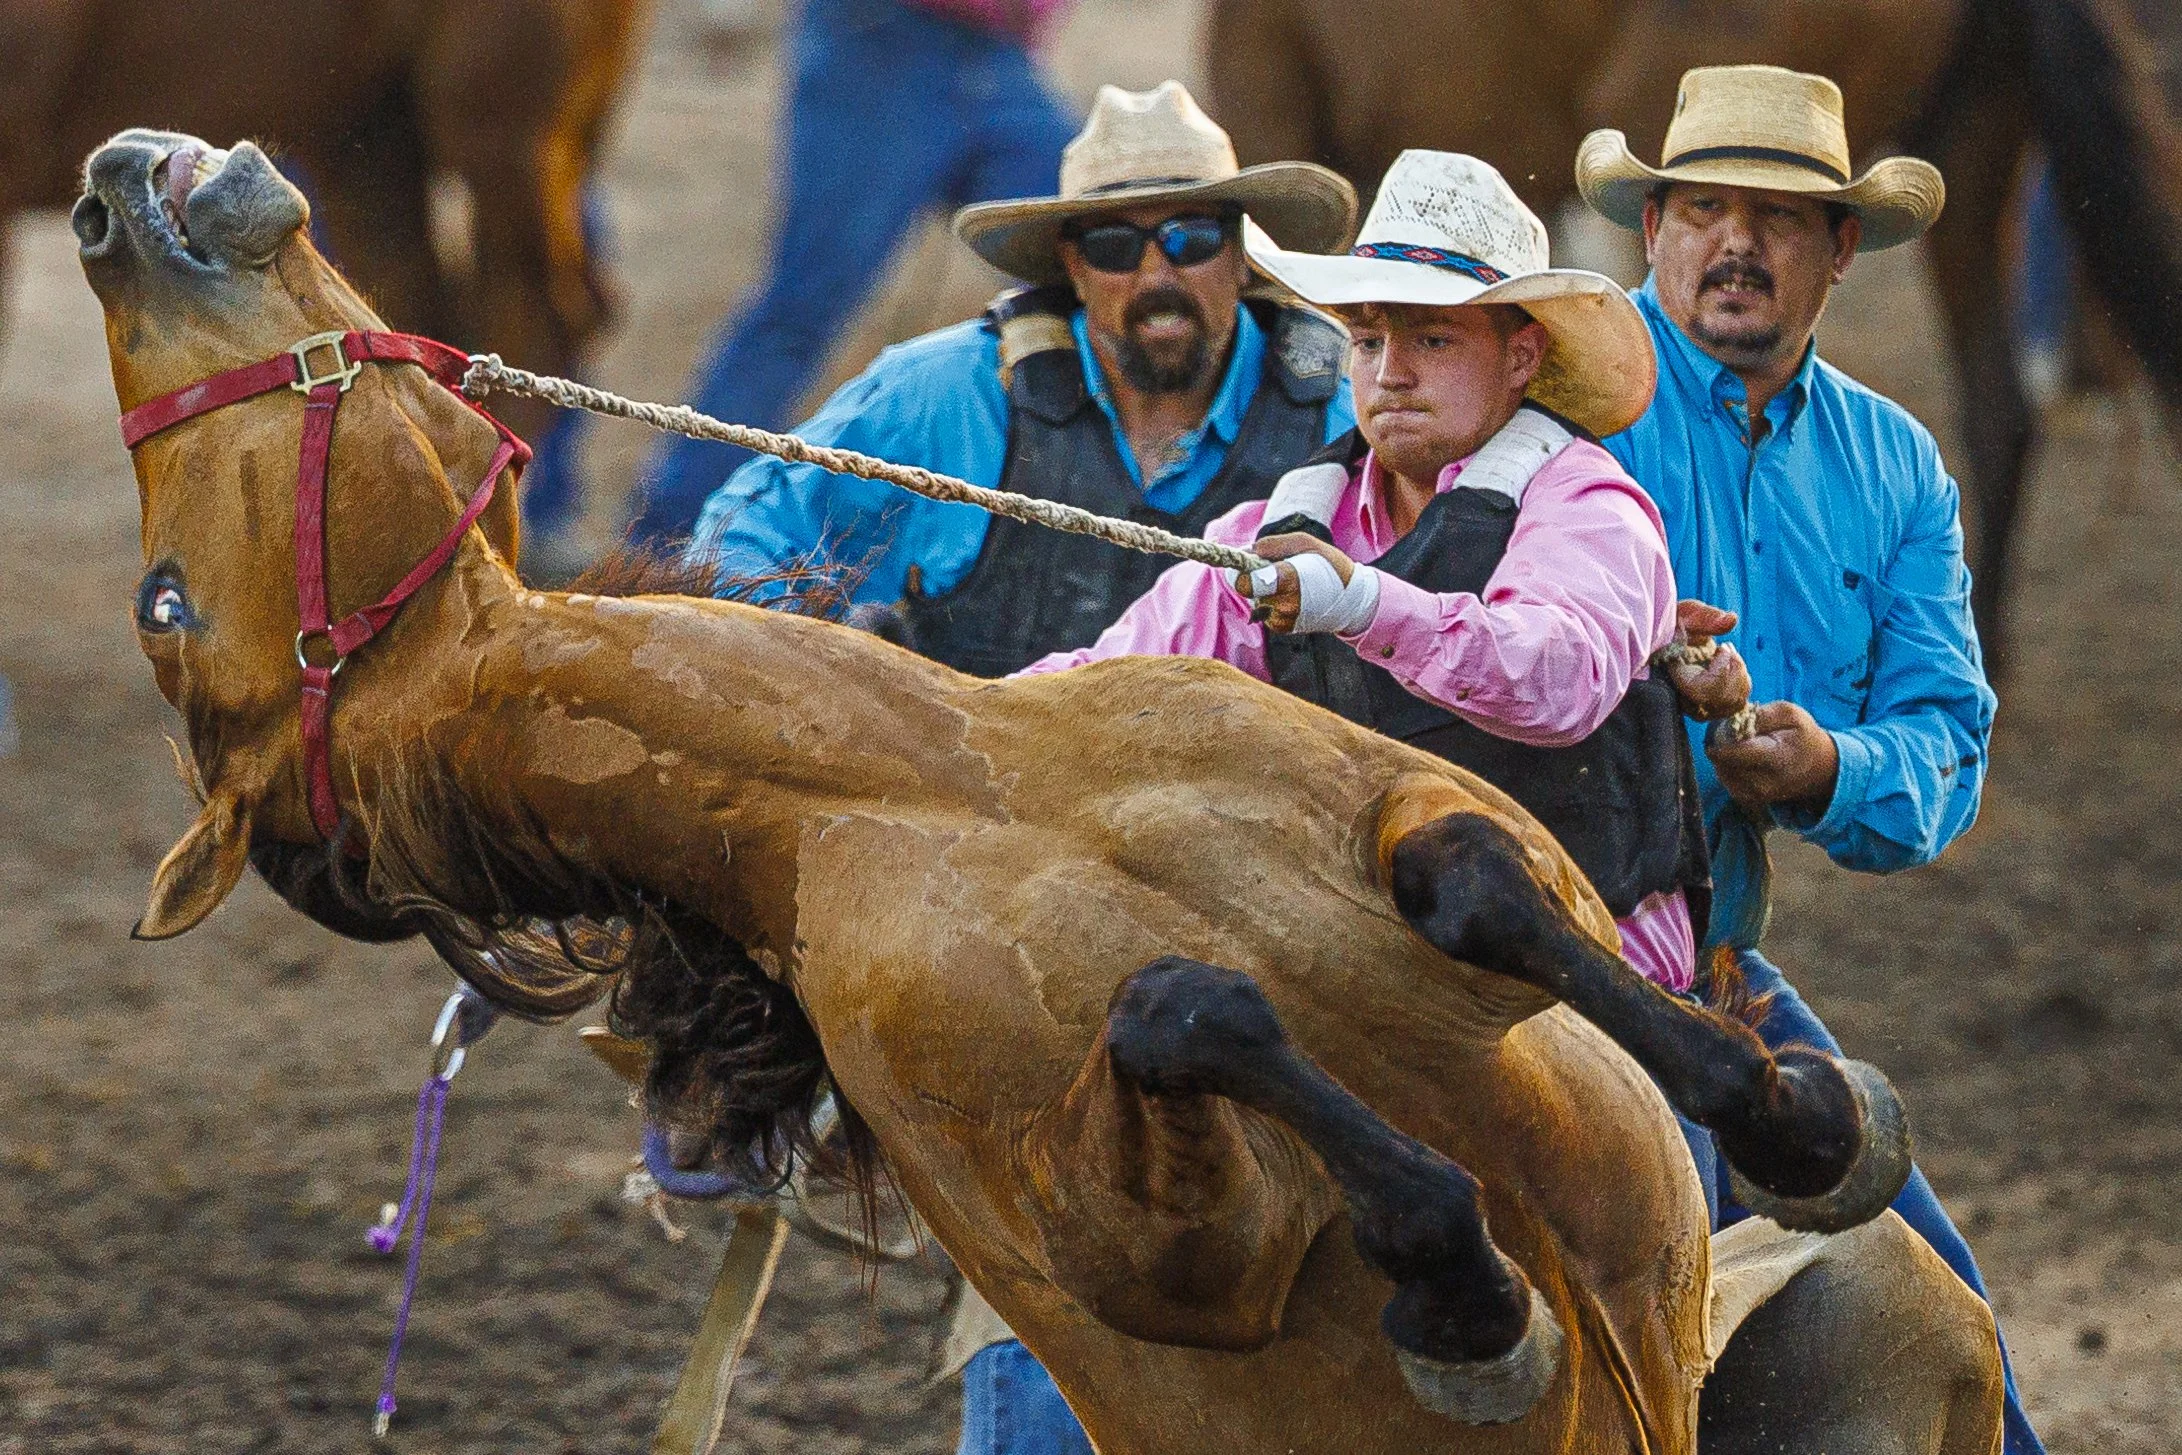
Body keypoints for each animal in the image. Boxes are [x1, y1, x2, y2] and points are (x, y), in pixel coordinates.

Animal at [76, 129, 2006, 1454]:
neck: (930, 796)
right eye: (162, 609)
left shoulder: (1378, 790)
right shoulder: (1132, 1224)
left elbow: (1471, 871)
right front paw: (1475, 1304)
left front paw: (1805, 1120)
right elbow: (1185, 1017)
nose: (103, 193)